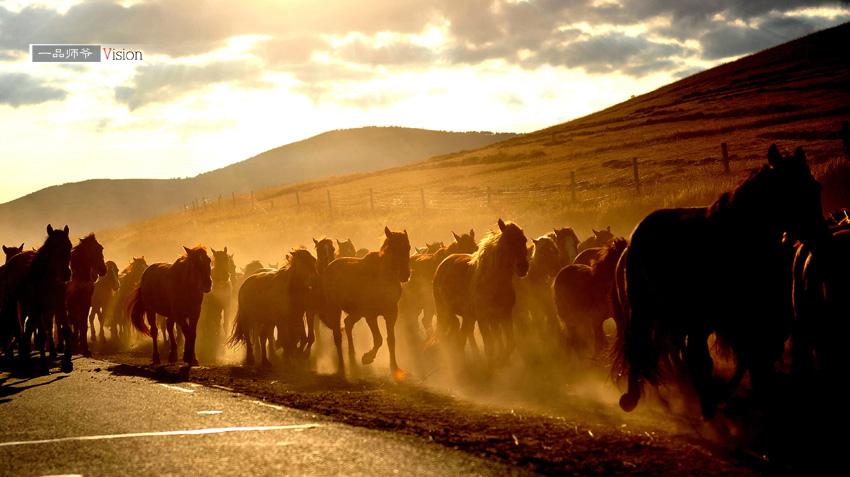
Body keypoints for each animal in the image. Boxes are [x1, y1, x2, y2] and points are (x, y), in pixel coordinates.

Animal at [0, 225, 72, 374]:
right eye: (53, 246)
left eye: (70, 246)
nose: (66, 274)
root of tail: (13, 258)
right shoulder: (39, 308)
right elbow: (42, 335)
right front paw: (44, 367)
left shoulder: (60, 305)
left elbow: (67, 330)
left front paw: (67, 364)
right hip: (17, 303)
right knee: (19, 328)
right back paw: (23, 362)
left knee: (27, 329)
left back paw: (26, 361)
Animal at [320, 226, 410, 376]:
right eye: (393, 248)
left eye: (408, 247)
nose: (405, 274)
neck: (382, 278)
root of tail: (329, 266)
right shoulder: (370, 315)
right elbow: (378, 339)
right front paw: (367, 358)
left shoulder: (391, 313)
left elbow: (391, 340)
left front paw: (394, 366)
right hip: (335, 309)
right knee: (337, 335)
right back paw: (342, 365)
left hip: (357, 312)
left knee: (348, 323)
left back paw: (352, 358)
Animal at [434, 218, 528, 370]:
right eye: (507, 242)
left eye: (524, 240)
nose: (523, 266)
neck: (493, 283)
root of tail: (443, 263)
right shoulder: (483, 318)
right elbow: (489, 347)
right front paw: (491, 367)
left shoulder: (505, 316)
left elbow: (509, 343)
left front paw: (500, 362)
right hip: (445, 312)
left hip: (468, 318)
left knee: (462, 338)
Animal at [612, 145, 824, 416]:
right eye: (791, 191)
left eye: (816, 187)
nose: (821, 236)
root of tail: (637, 233)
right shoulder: (724, 316)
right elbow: (741, 354)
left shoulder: (745, 316)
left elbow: (753, 354)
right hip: (647, 308)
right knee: (642, 344)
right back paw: (635, 396)